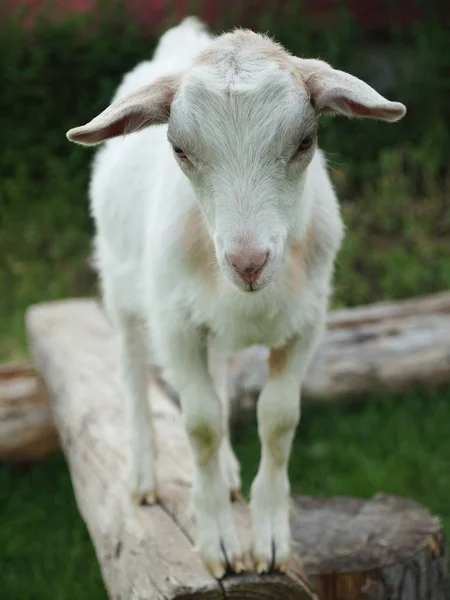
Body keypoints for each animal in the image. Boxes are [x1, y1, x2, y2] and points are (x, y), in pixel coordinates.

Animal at [67, 17, 408, 580]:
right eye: (180, 150)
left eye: (305, 140)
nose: (248, 262)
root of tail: (182, 38)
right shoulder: (174, 326)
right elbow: (200, 424)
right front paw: (220, 547)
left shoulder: (307, 323)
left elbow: (277, 419)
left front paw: (269, 540)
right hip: (120, 285)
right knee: (133, 373)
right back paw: (142, 476)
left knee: (219, 375)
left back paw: (227, 472)